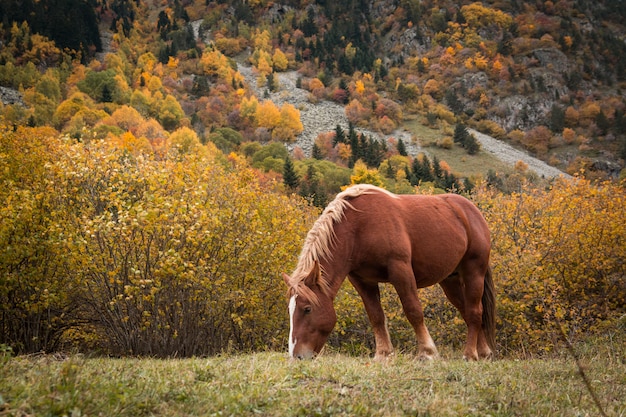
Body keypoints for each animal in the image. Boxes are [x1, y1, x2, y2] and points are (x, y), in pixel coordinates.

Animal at [282, 184, 492, 360]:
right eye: (290, 310)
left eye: (307, 309)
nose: (297, 356)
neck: (359, 227)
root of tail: (471, 211)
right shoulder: (362, 280)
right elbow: (376, 316)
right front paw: (383, 354)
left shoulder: (400, 270)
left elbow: (413, 310)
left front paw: (427, 352)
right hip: (450, 280)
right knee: (466, 311)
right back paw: (483, 352)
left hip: (474, 272)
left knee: (474, 311)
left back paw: (470, 354)